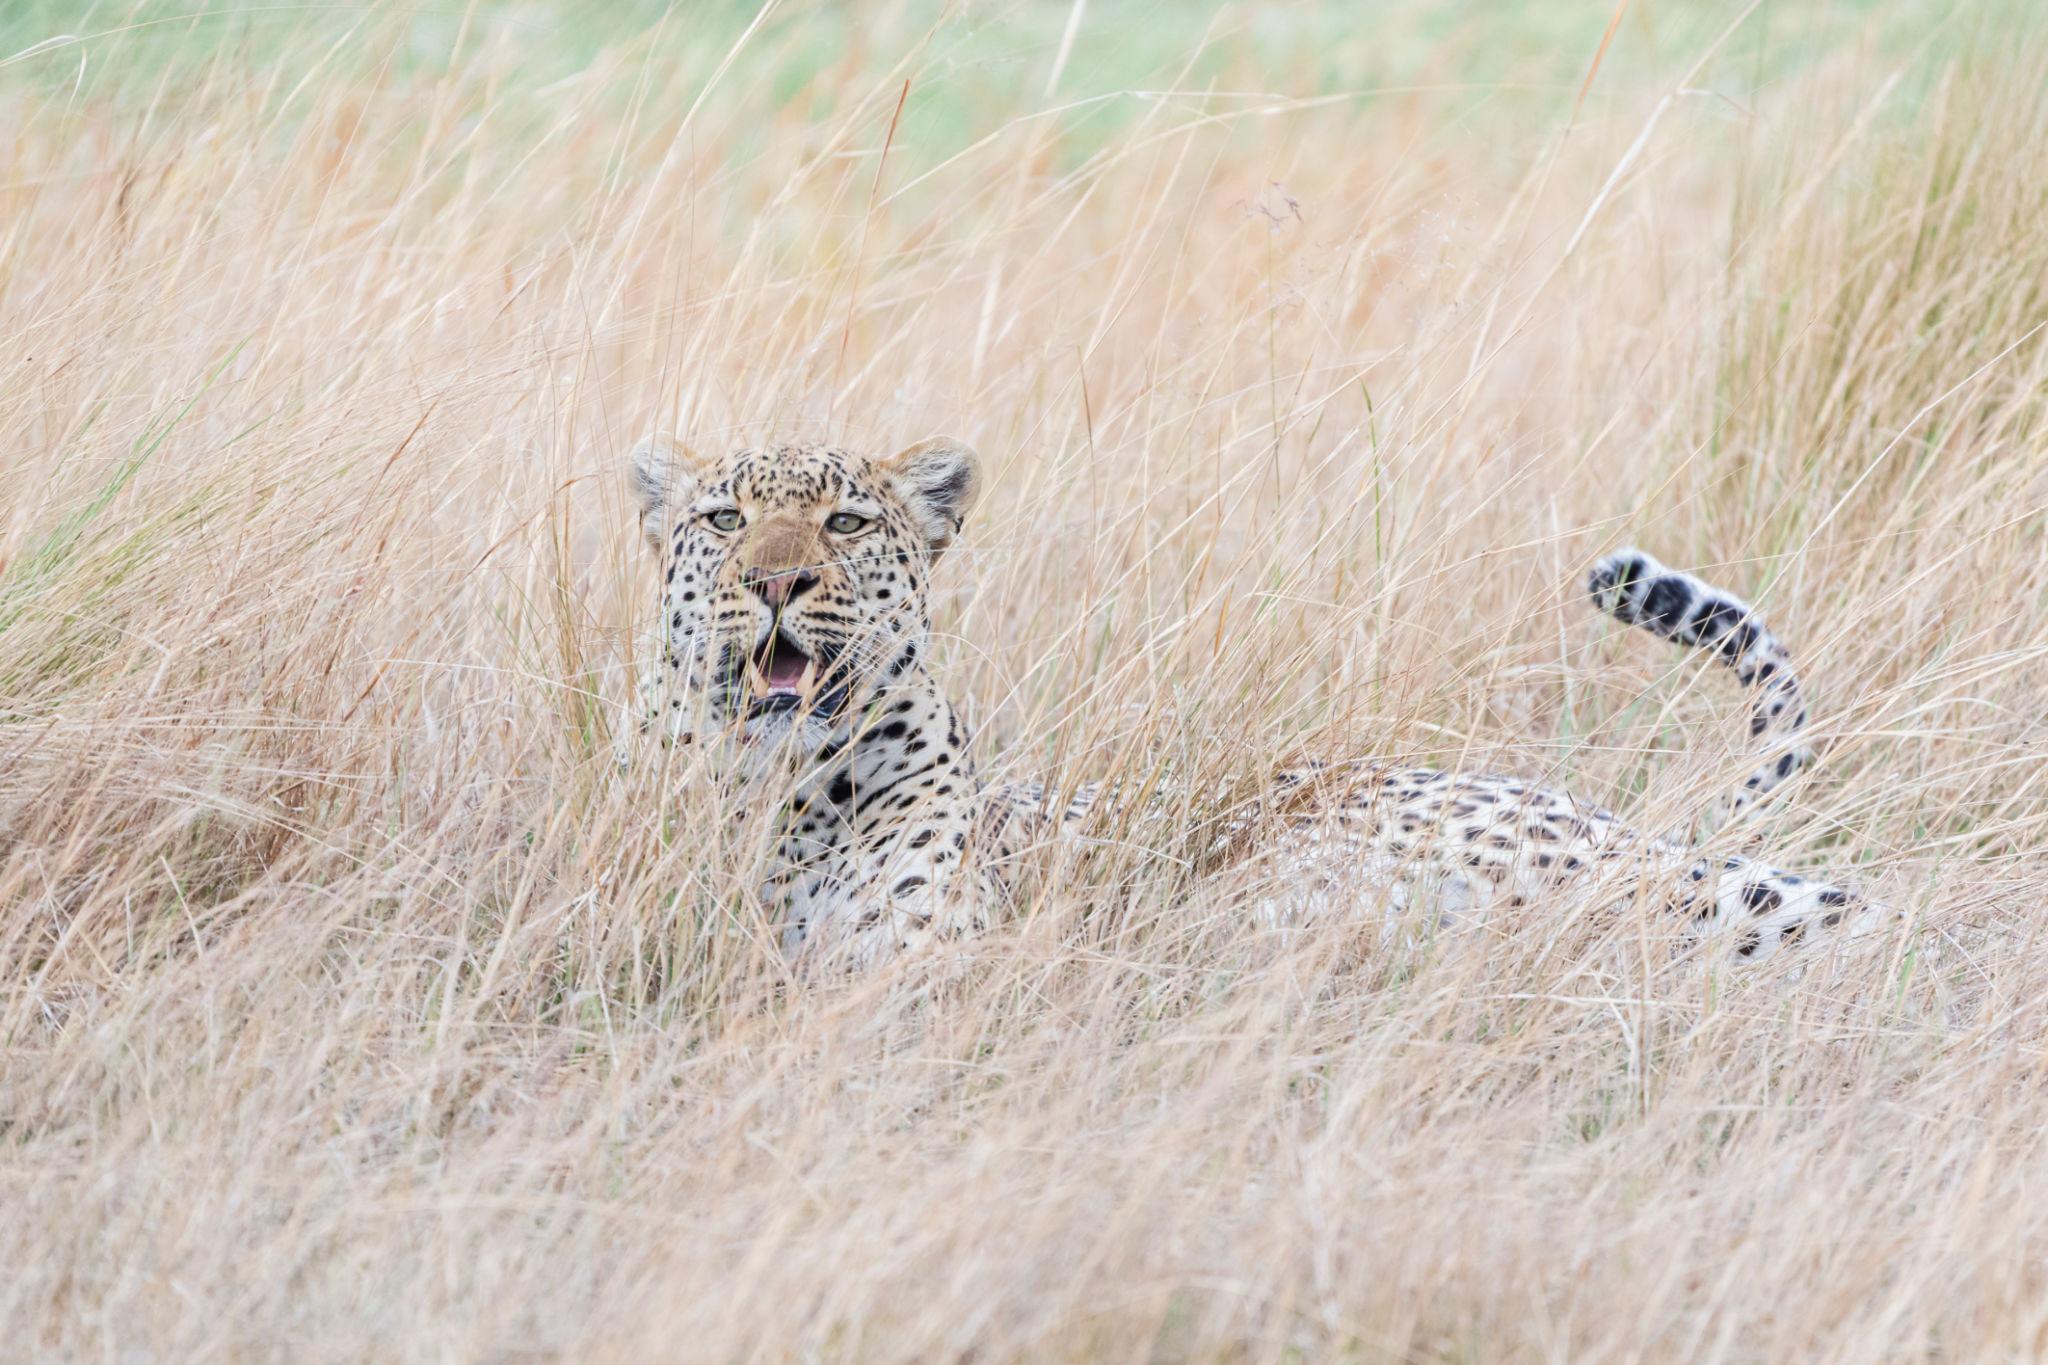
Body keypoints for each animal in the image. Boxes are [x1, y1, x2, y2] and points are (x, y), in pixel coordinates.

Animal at [622, 434, 1897, 972]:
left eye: (844, 523)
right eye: (725, 520)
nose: (775, 584)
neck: (787, 789)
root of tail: (1595, 814)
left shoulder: (920, 970)